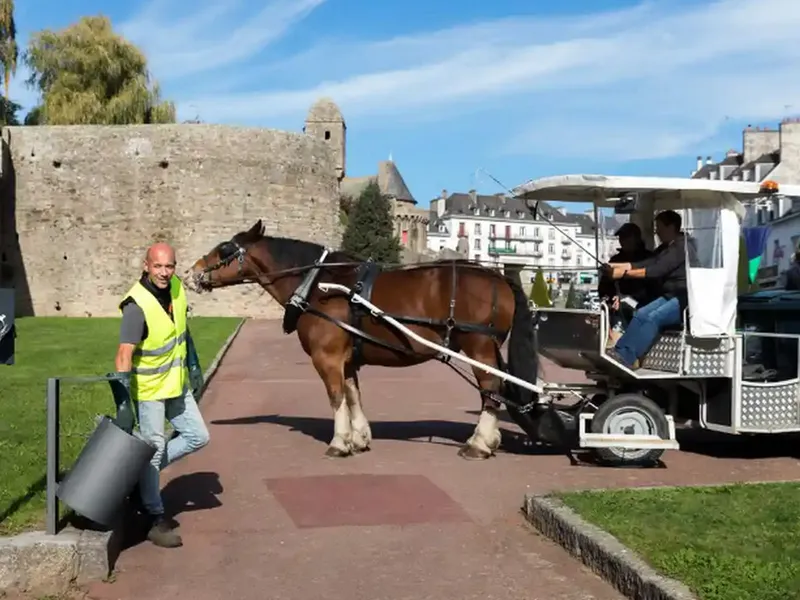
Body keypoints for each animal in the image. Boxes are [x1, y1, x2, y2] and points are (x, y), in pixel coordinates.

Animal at [183, 220, 544, 460]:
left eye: (225, 249)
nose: (190, 273)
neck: (318, 283)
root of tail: (497, 275)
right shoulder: (347, 359)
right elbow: (353, 395)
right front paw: (359, 438)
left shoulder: (326, 358)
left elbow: (336, 397)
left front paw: (339, 442)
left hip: (478, 348)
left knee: (491, 390)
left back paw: (479, 443)